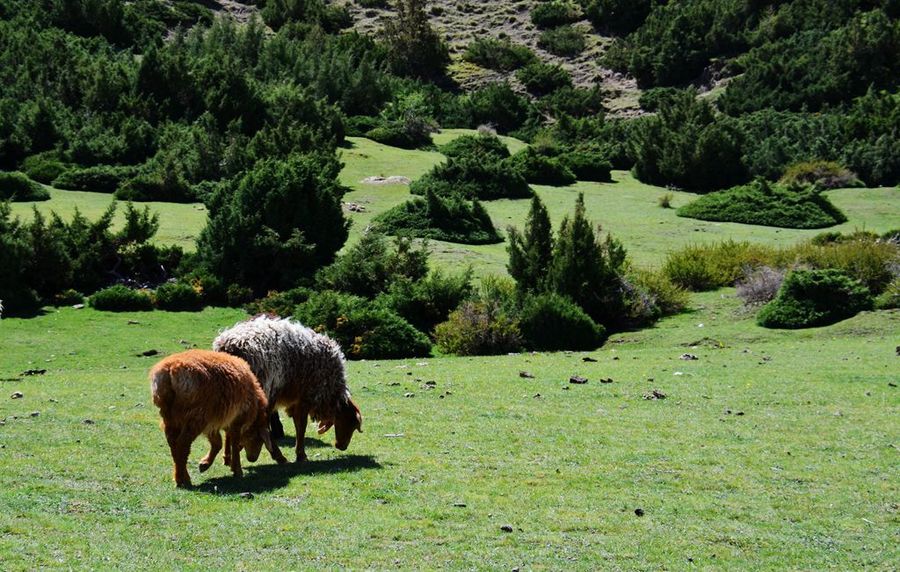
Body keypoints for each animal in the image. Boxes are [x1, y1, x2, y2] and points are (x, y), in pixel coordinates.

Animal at [149, 348, 286, 488]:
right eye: (257, 438)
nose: (252, 459)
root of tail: (170, 369)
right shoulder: (236, 420)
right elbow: (234, 443)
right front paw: (237, 470)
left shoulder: (213, 422)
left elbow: (218, 443)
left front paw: (205, 464)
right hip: (195, 417)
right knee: (182, 445)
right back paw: (185, 480)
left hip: (170, 417)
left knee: (173, 444)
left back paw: (179, 477)